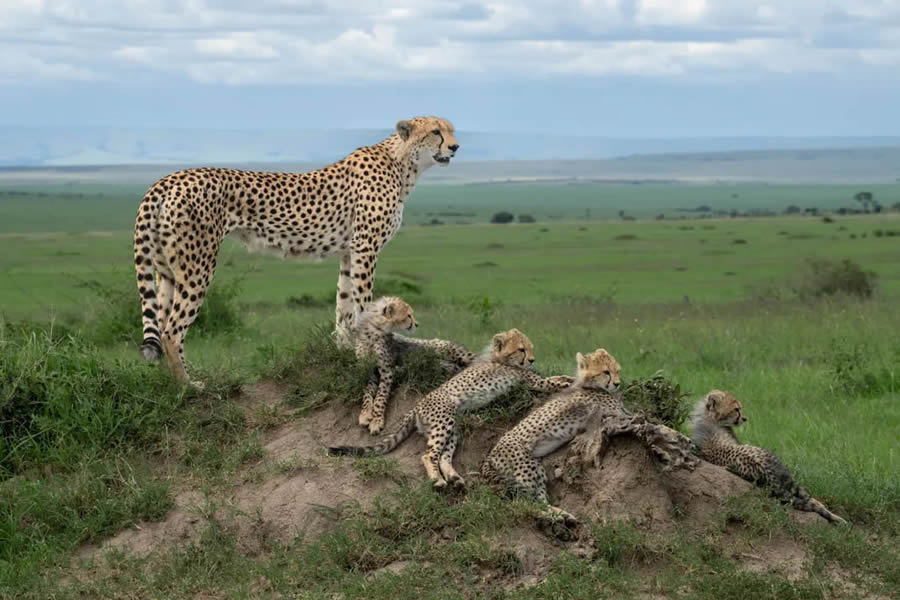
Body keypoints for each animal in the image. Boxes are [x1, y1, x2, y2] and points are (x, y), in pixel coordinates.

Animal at [132, 117, 458, 384]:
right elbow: (364, 304)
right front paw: (369, 354)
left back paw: (170, 382)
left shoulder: (349, 253)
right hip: (198, 267)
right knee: (172, 329)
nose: (455, 147)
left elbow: (344, 308)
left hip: (166, 270)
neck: (402, 163)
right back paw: (189, 385)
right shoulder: (366, 249)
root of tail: (168, 179)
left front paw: (344, 352)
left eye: (451, 129)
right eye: (435, 131)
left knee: (161, 322)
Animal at [326, 330, 572, 490]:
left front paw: (568, 376)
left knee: (443, 456)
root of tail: (416, 406)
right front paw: (570, 383)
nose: (532, 359)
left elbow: (555, 377)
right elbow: (552, 383)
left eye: (530, 348)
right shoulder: (531, 382)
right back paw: (438, 480)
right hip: (444, 422)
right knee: (429, 455)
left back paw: (453, 478)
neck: (500, 358)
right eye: (521, 349)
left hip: (454, 427)